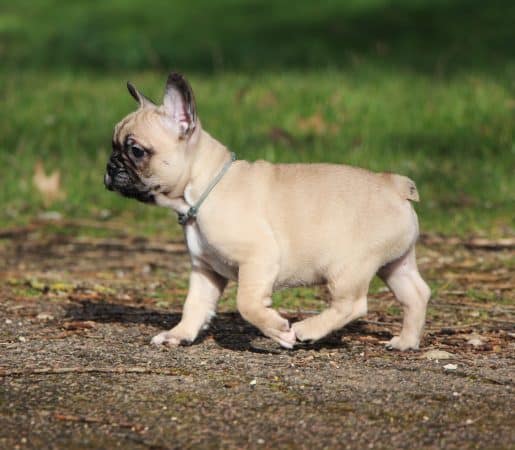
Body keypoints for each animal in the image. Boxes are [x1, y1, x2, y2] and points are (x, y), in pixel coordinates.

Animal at [105, 71, 432, 352]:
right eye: (113, 146)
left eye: (135, 150)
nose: (109, 166)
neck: (203, 189)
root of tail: (394, 184)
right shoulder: (205, 270)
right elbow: (195, 306)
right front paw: (179, 334)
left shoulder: (257, 257)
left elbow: (247, 304)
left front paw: (277, 330)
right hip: (395, 263)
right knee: (416, 294)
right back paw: (405, 342)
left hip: (347, 266)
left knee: (351, 304)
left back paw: (308, 329)